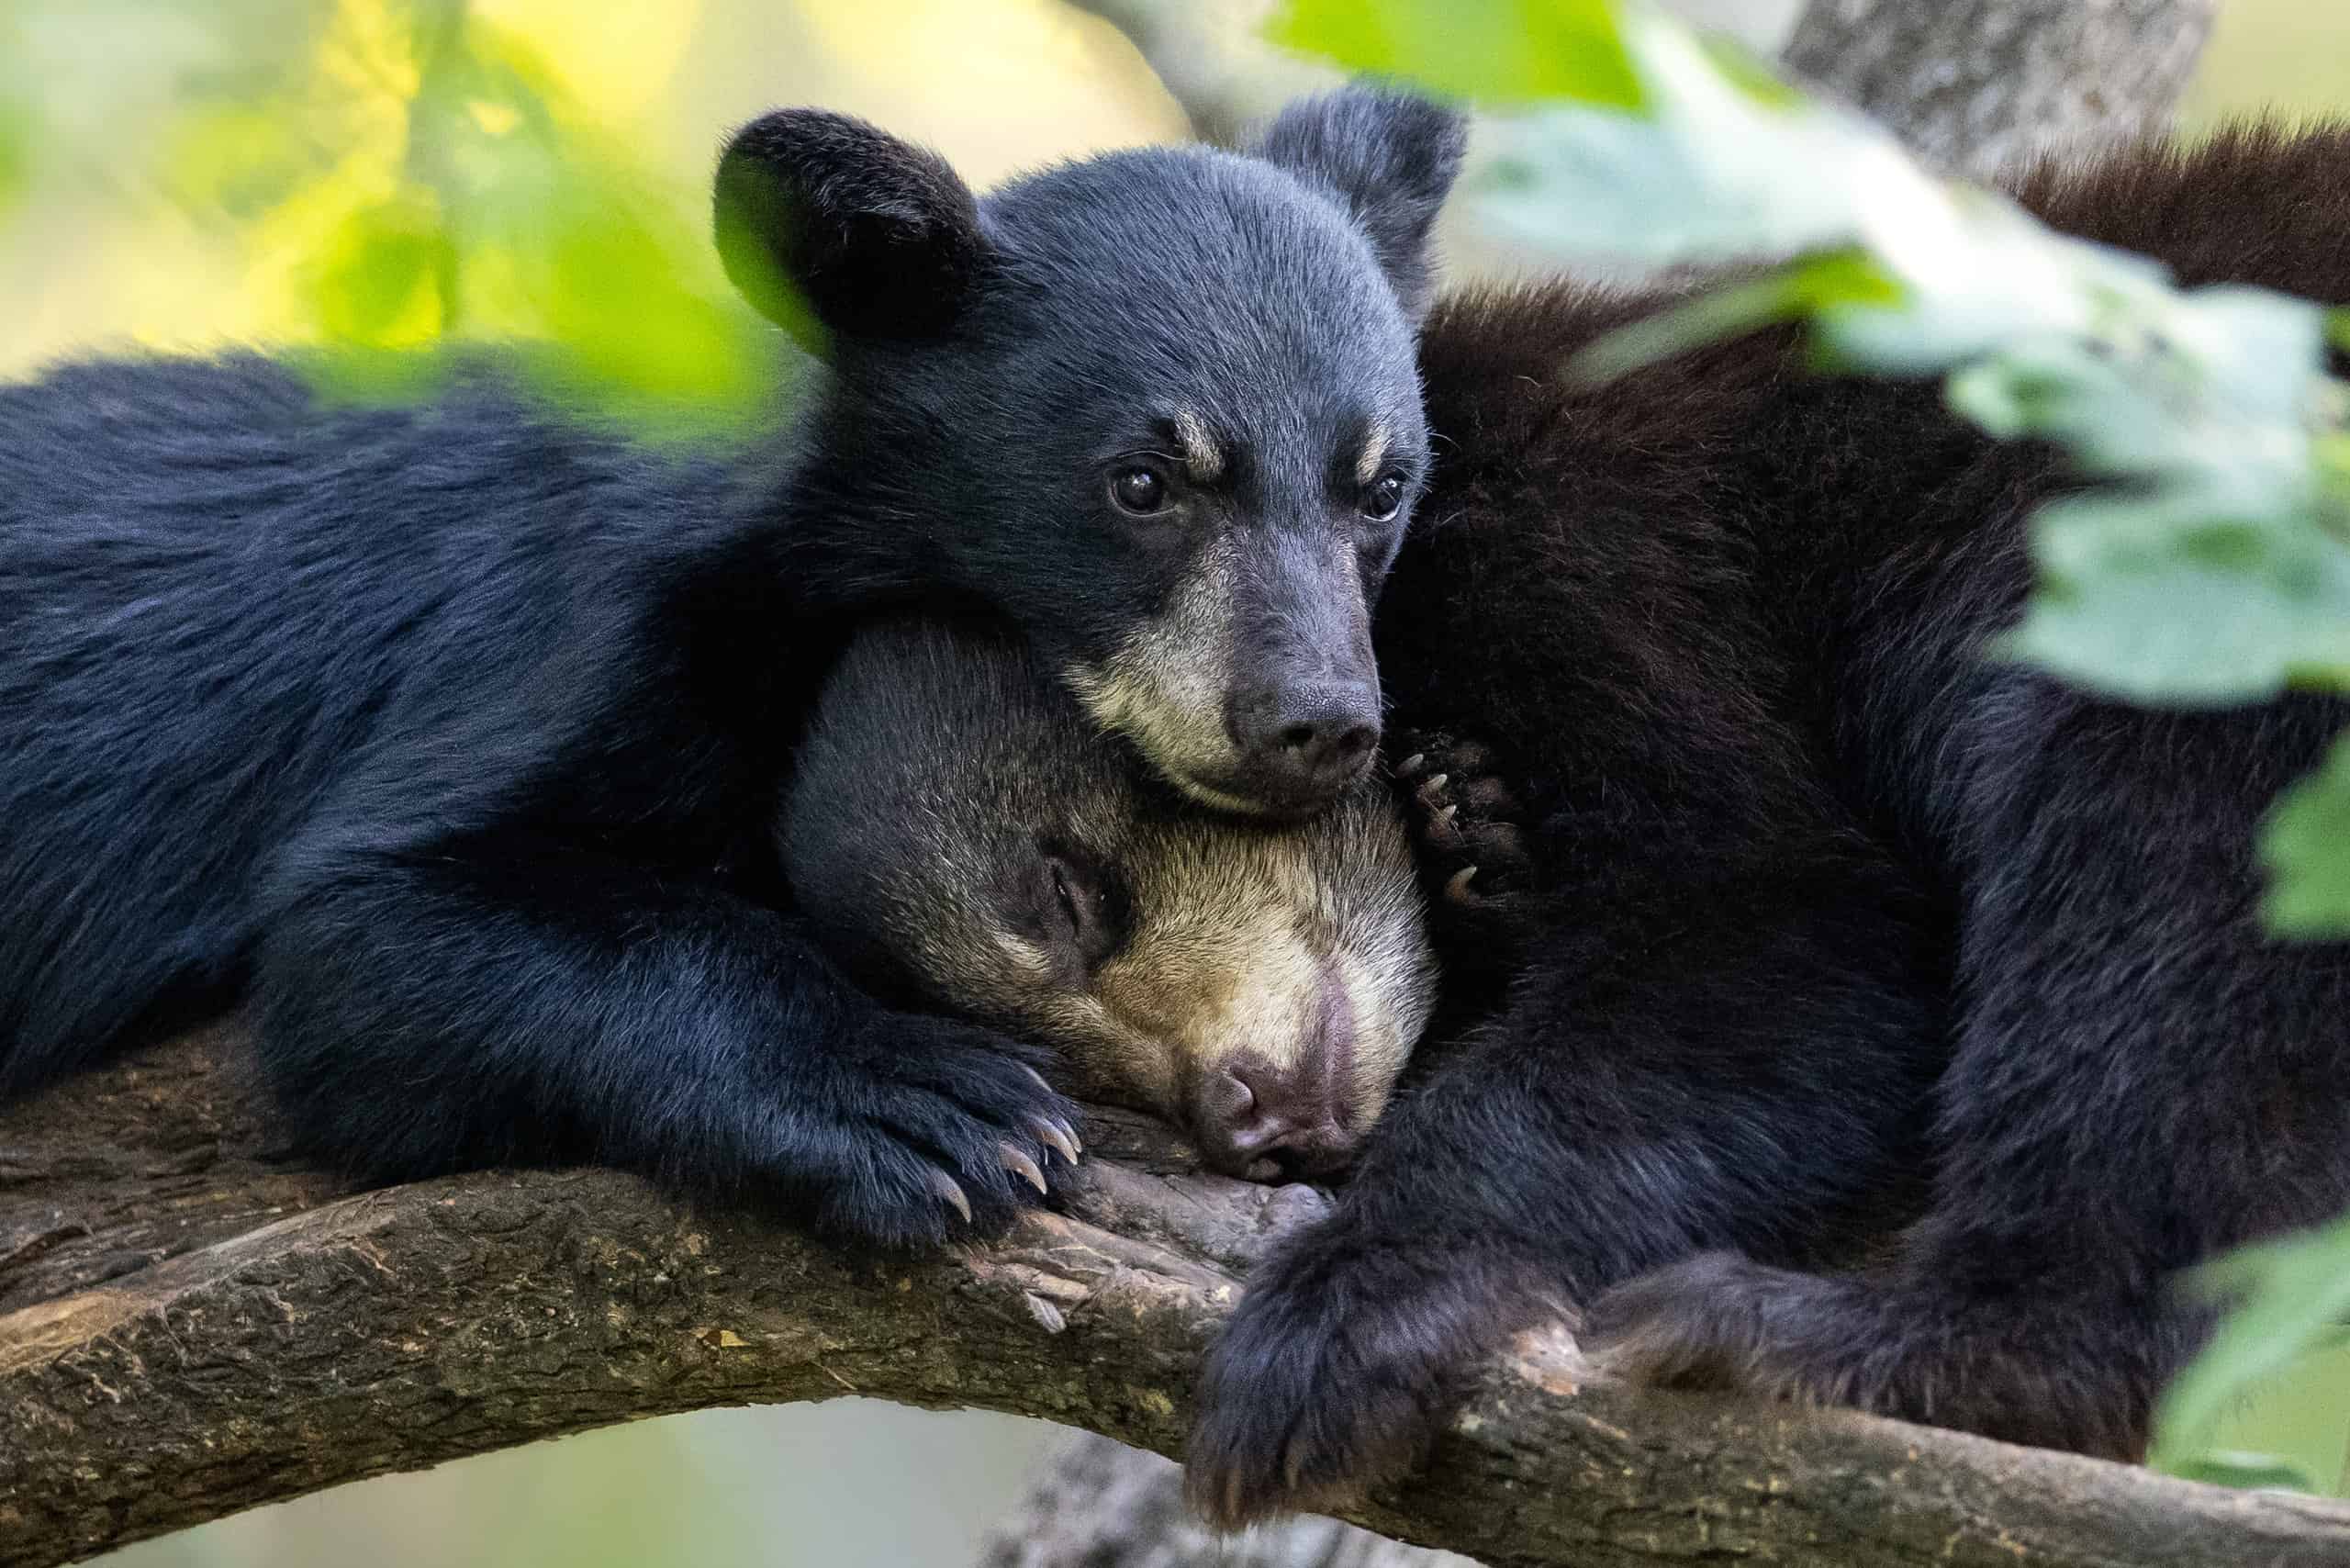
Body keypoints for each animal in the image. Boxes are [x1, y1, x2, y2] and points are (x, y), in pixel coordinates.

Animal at [1183, 121, 2350, 1523]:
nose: (1247, 1102)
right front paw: (1474, 843)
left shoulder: (1573, 556)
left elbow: (1795, 933)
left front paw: (1365, 1293)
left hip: (2226, 585)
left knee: (2165, 917)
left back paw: (1898, 1344)